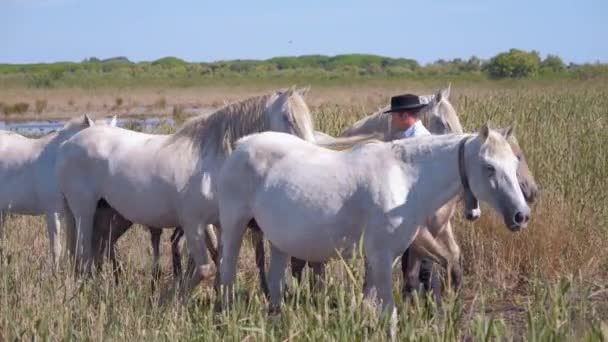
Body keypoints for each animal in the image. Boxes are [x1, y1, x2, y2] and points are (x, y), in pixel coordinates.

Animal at [217, 125, 528, 312]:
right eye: (489, 167)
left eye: (514, 163)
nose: (521, 215)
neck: (405, 179)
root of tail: (242, 144)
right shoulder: (380, 253)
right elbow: (388, 307)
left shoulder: (388, 255)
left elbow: (370, 300)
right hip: (233, 228)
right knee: (226, 272)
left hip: (279, 240)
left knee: (275, 282)